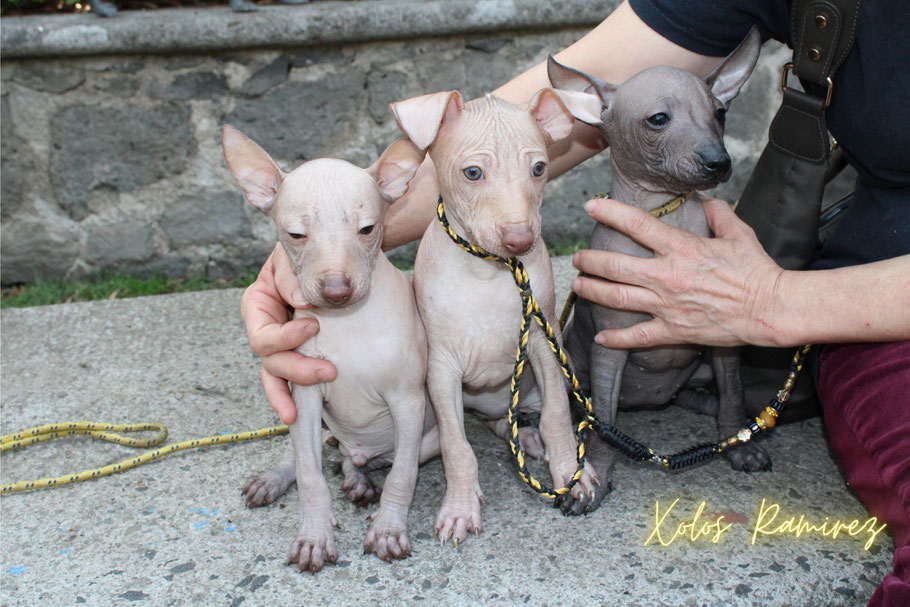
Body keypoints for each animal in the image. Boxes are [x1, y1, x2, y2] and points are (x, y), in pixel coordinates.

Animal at [226, 126, 444, 572]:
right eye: (295, 235)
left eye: (368, 229)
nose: (337, 292)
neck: (348, 324)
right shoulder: (305, 398)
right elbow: (310, 475)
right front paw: (314, 535)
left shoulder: (409, 401)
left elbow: (402, 475)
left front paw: (389, 528)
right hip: (315, 422)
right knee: (313, 454)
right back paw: (278, 478)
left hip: (424, 439)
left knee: (366, 460)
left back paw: (359, 481)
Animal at [392, 86, 604, 548]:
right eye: (472, 173)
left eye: (539, 168)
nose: (521, 240)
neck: (489, 270)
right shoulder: (442, 369)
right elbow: (456, 446)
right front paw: (459, 506)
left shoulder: (544, 345)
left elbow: (559, 417)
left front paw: (571, 474)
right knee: (493, 426)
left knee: (535, 415)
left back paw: (531, 437)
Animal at [552, 28, 772, 516]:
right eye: (658, 119)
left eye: (720, 113)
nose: (718, 161)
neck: (662, 220)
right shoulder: (609, 346)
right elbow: (604, 422)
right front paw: (593, 480)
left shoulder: (722, 341)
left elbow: (734, 395)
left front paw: (740, 446)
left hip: (701, 367)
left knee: (706, 395)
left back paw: (707, 406)